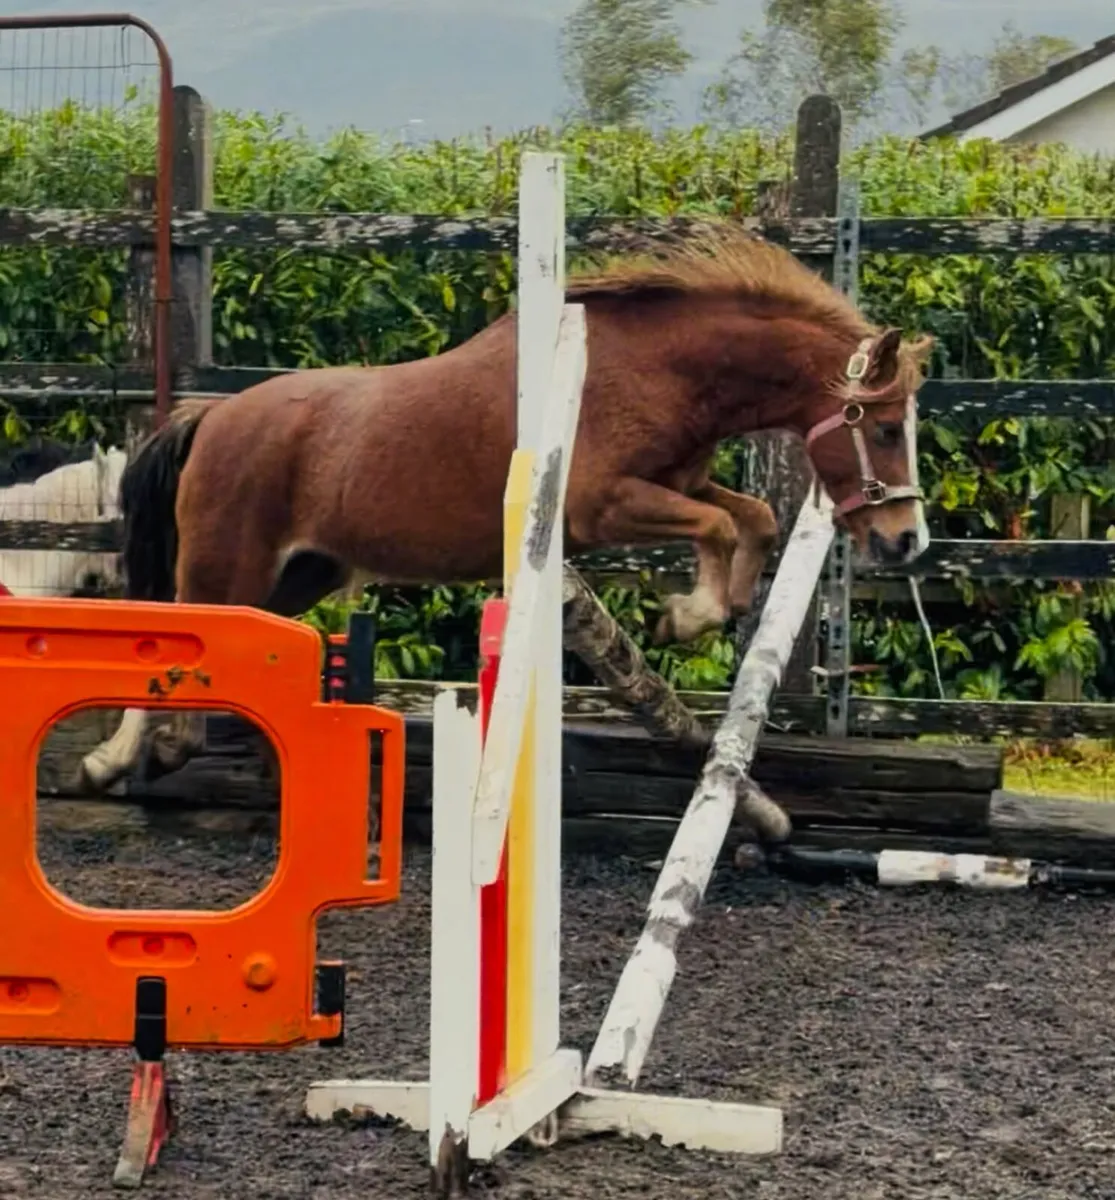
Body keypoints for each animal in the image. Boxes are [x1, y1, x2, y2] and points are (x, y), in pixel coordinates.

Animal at [80, 228, 933, 793]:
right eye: (887, 429)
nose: (906, 541)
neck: (657, 368)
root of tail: (211, 416)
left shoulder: (676, 484)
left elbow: (750, 516)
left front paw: (706, 610)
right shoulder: (604, 505)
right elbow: (724, 526)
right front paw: (685, 616)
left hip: (298, 575)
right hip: (228, 565)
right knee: (173, 633)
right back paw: (127, 757)